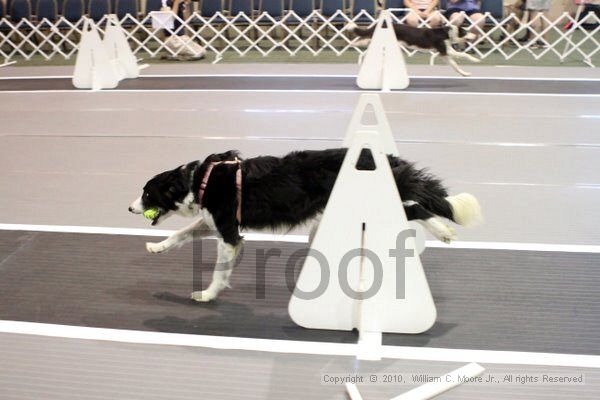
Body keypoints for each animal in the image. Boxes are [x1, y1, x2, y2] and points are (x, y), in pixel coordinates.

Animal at [129, 148, 480, 302]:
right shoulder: (217, 222)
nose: (130, 207)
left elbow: (218, 271)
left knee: (417, 208)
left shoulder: (229, 232)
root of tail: (385, 158)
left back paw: (444, 232)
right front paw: (157, 247)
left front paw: (207, 294)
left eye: (147, 193)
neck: (199, 181)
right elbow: (180, 234)